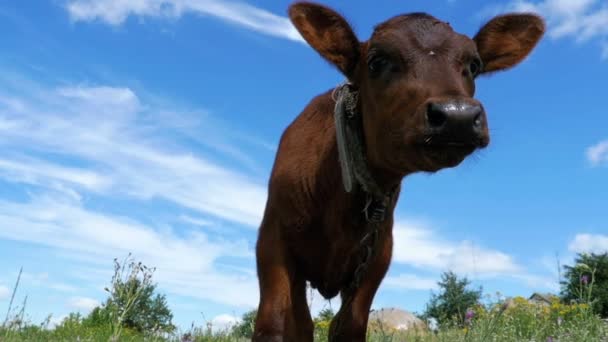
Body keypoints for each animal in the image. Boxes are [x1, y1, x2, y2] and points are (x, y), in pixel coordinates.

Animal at [254, 2, 544, 340]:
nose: (457, 115)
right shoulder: (272, 241)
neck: (337, 197)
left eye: (474, 65)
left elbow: (349, 325)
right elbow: (275, 323)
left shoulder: (377, 256)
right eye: (377, 61)